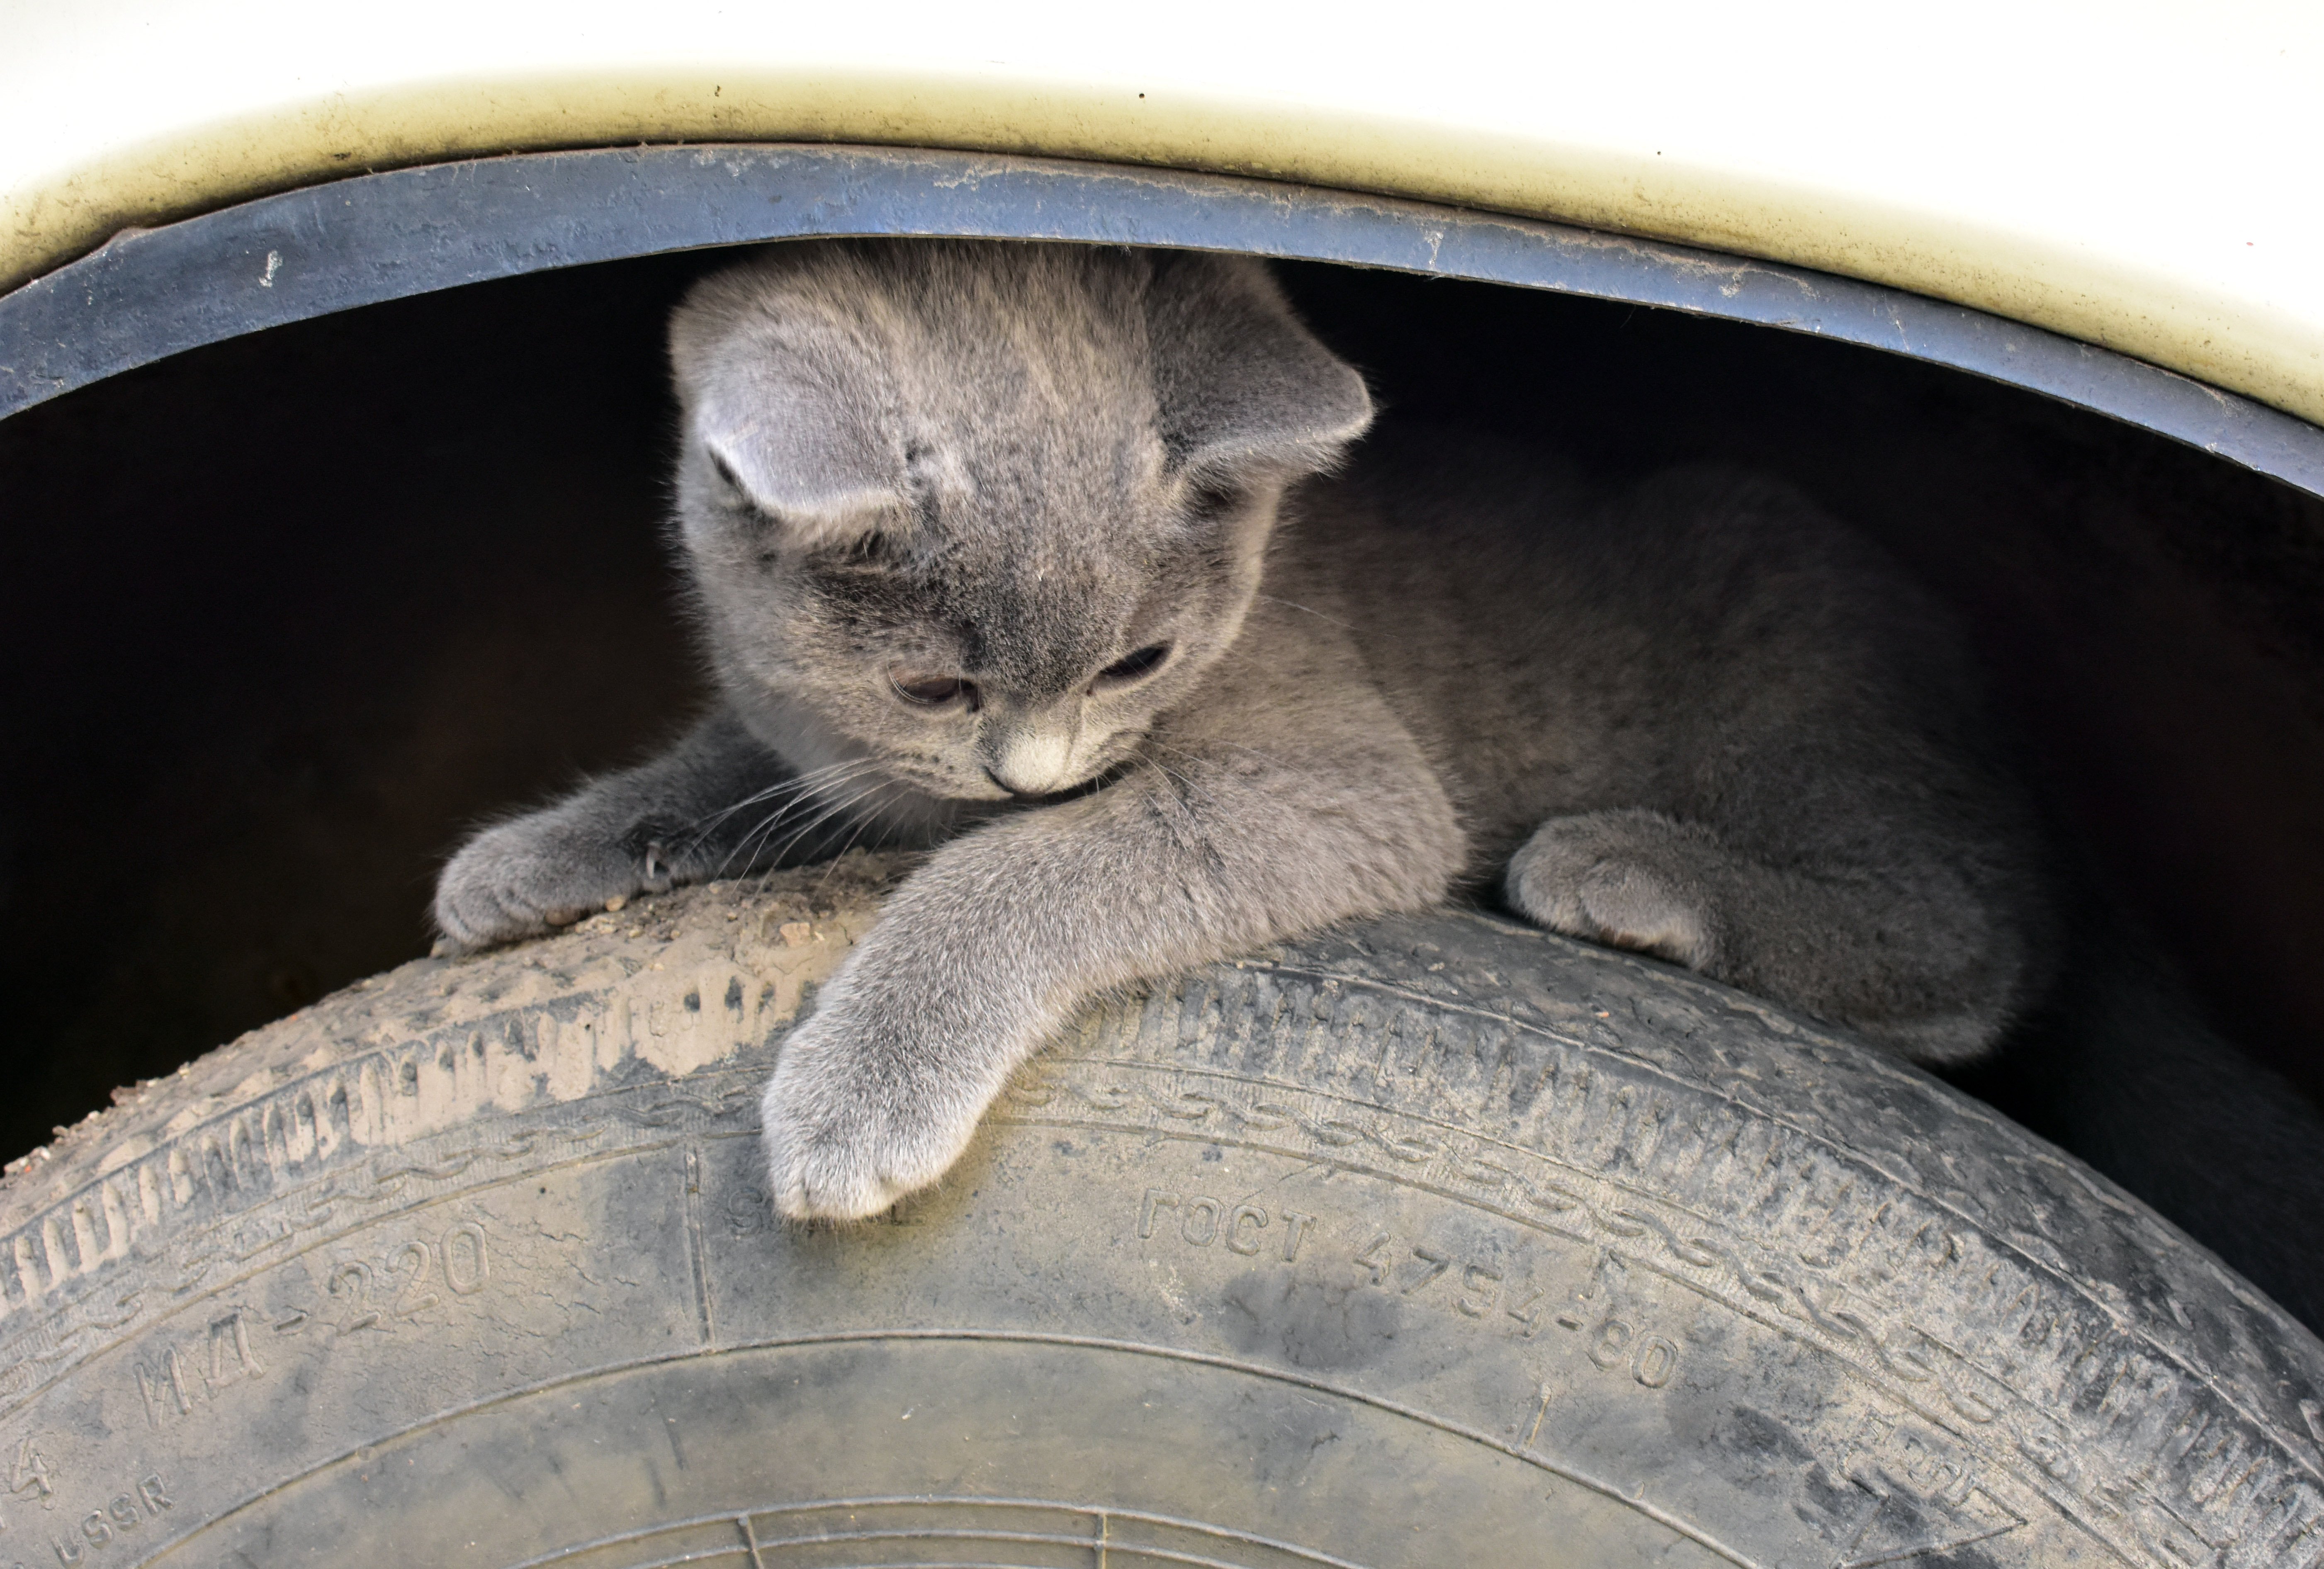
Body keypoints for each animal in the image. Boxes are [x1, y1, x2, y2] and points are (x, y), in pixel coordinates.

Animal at [437, 243, 2054, 1227]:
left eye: (1139, 660)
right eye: (934, 691)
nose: (1029, 772)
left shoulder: (1341, 780)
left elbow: (1021, 873)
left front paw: (865, 1085)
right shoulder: (837, 747)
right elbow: (730, 770)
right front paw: (532, 859)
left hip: (1784, 668)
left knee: (1964, 932)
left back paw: (1627, 874)